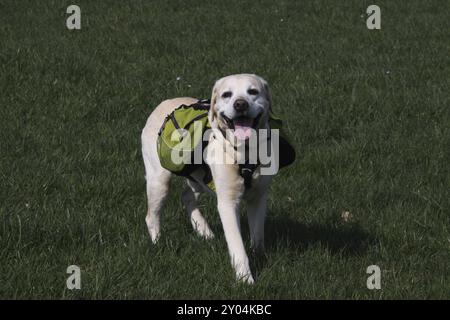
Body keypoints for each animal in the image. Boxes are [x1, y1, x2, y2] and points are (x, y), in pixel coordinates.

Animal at [141, 74, 274, 284]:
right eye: (227, 94)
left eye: (253, 91)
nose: (240, 104)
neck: (245, 153)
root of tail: (163, 103)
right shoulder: (227, 203)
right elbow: (238, 247)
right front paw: (245, 280)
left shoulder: (259, 197)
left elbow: (258, 237)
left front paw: (259, 257)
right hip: (159, 181)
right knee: (151, 216)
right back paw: (158, 243)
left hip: (200, 179)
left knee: (187, 196)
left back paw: (204, 231)